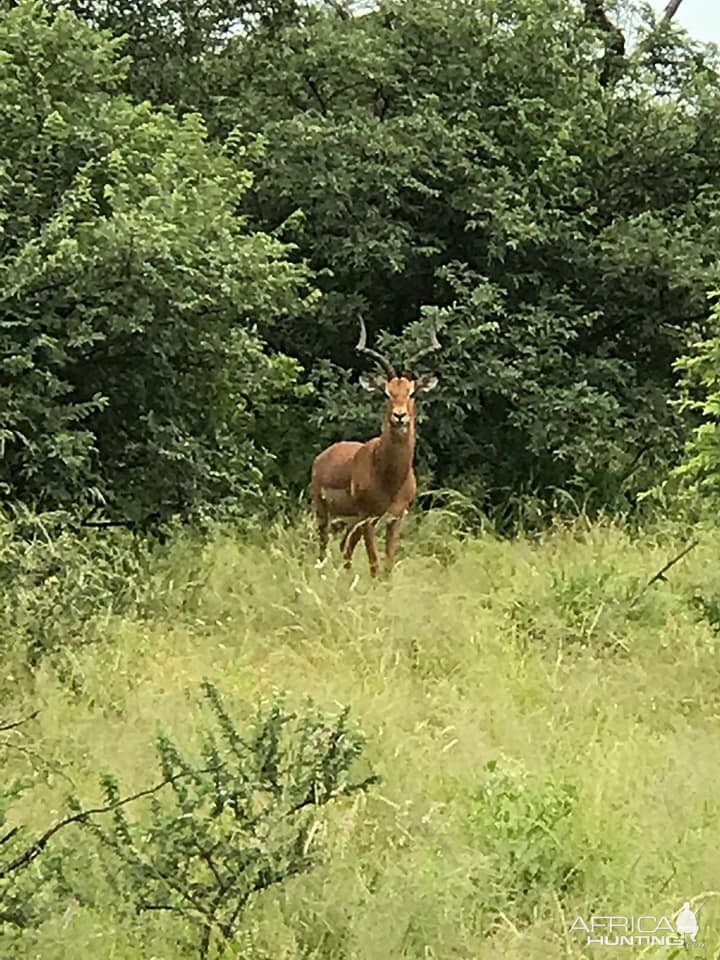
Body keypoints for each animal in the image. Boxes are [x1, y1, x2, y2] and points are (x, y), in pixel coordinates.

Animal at [312, 322, 442, 576]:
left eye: (412, 392)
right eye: (387, 392)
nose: (399, 416)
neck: (388, 475)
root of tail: (324, 455)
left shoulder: (395, 517)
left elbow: (388, 564)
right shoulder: (368, 517)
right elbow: (374, 562)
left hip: (352, 522)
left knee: (345, 549)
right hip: (325, 513)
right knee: (324, 548)